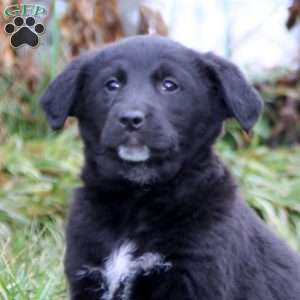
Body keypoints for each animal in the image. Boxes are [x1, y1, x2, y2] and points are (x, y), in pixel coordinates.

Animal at [40, 35, 300, 300]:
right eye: (111, 84)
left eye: (169, 85)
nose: (130, 119)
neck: (137, 200)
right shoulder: (87, 272)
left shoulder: (193, 276)